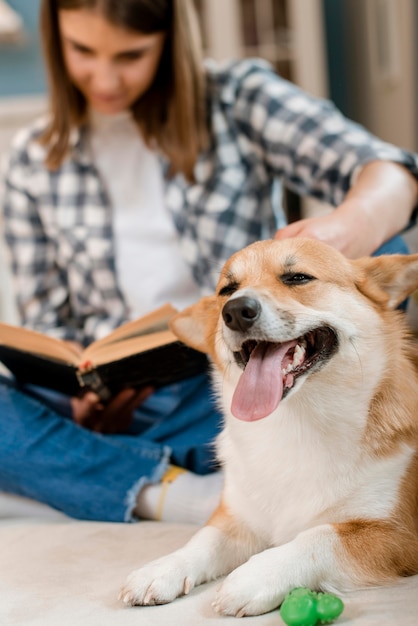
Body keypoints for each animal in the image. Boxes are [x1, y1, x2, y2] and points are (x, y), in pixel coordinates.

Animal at [119, 238, 418, 616]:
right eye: (227, 290)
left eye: (298, 277)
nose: (235, 311)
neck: (296, 423)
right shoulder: (239, 518)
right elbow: (203, 539)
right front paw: (162, 568)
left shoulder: (396, 534)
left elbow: (318, 537)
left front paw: (256, 576)